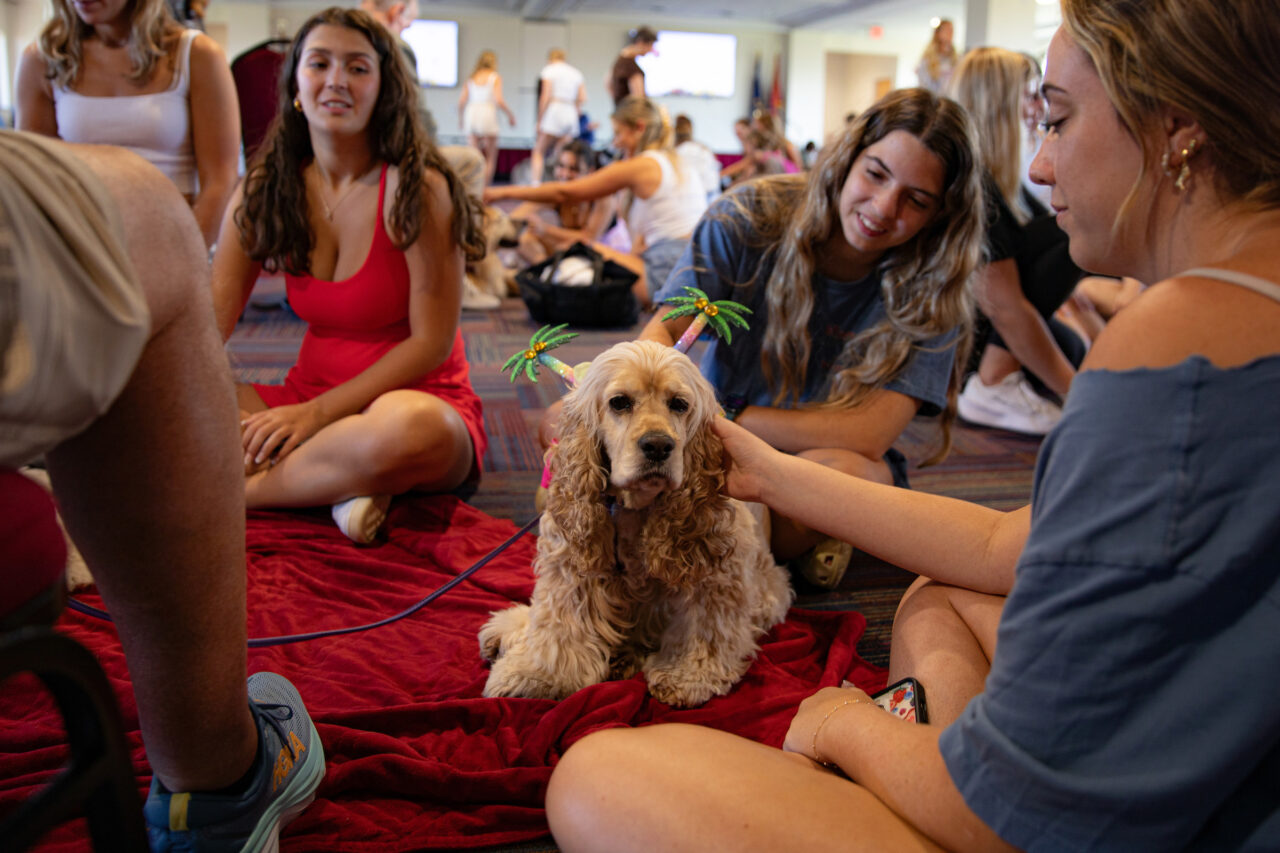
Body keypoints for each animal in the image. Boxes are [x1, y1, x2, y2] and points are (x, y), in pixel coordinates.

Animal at [481, 338, 788, 701]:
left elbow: (705, 626)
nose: (658, 445)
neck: (635, 506)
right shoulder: (572, 563)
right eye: (620, 402)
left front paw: (688, 674)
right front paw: (536, 674)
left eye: (679, 404)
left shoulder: (717, 572)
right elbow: (560, 624)